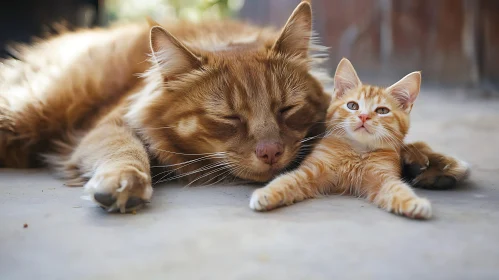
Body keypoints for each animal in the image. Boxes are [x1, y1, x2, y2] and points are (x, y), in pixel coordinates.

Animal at [252, 57, 436, 219]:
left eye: (382, 111)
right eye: (352, 106)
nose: (363, 116)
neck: (357, 150)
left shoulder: (383, 177)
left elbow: (398, 189)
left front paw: (414, 203)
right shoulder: (313, 169)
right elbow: (288, 179)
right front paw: (266, 193)